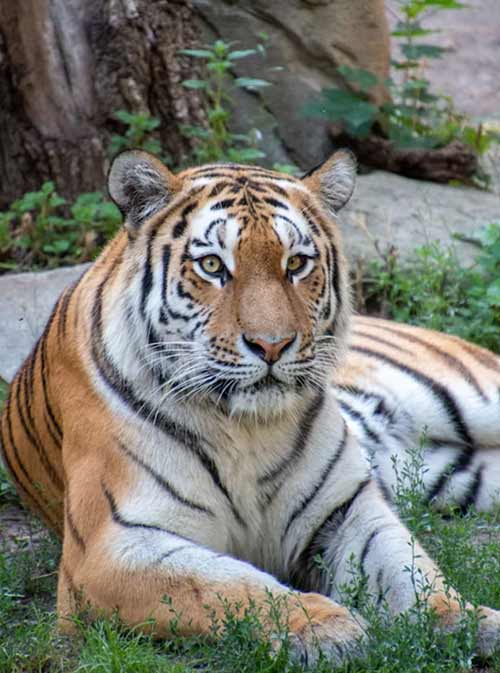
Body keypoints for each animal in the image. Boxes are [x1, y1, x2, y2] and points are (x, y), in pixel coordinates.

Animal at [1, 148, 500, 666]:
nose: (272, 345)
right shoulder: (109, 548)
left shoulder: (347, 510)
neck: (246, 429)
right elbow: (228, 587)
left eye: (296, 263)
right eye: (212, 265)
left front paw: (465, 619)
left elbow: (408, 571)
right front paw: (325, 628)